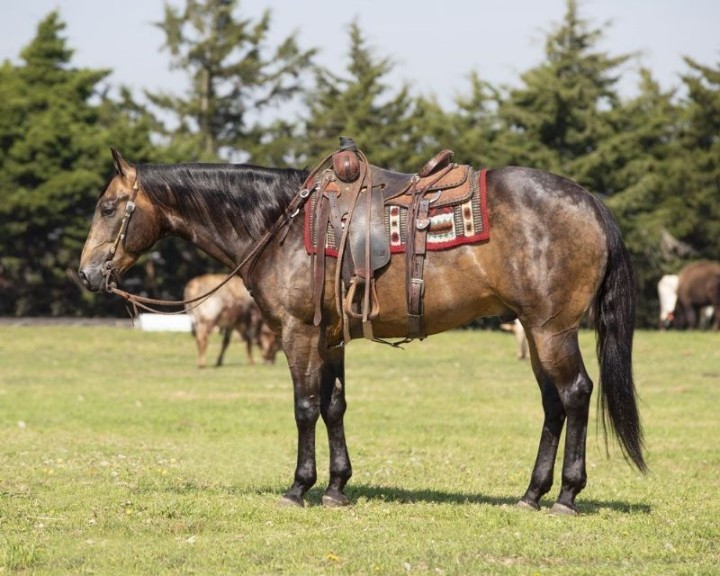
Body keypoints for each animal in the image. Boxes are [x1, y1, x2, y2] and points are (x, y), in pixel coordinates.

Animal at [78, 147, 646, 514]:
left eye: (107, 207)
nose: (87, 274)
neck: (280, 225)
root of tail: (590, 202)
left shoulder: (299, 333)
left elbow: (305, 406)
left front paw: (299, 487)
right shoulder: (329, 337)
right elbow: (334, 406)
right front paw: (336, 487)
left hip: (552, 330)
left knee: (576, 394)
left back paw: (567, 496)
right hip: (534, 330)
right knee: (553, 404)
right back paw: (531, 495)